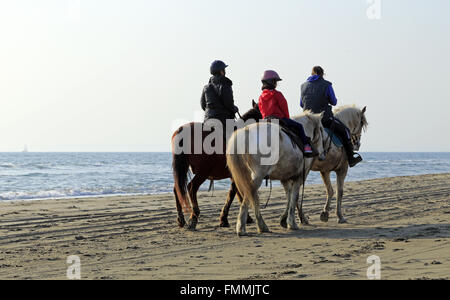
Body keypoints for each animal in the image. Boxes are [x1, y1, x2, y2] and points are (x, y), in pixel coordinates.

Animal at [172, 101, 264, 230]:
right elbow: (233, 193)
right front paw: (225, 219)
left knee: (178, 188)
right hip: (203, 171)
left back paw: (181, 219)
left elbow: (237, 193)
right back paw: (194, 217)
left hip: (184, 169)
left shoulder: (234, 175)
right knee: (191, 187)